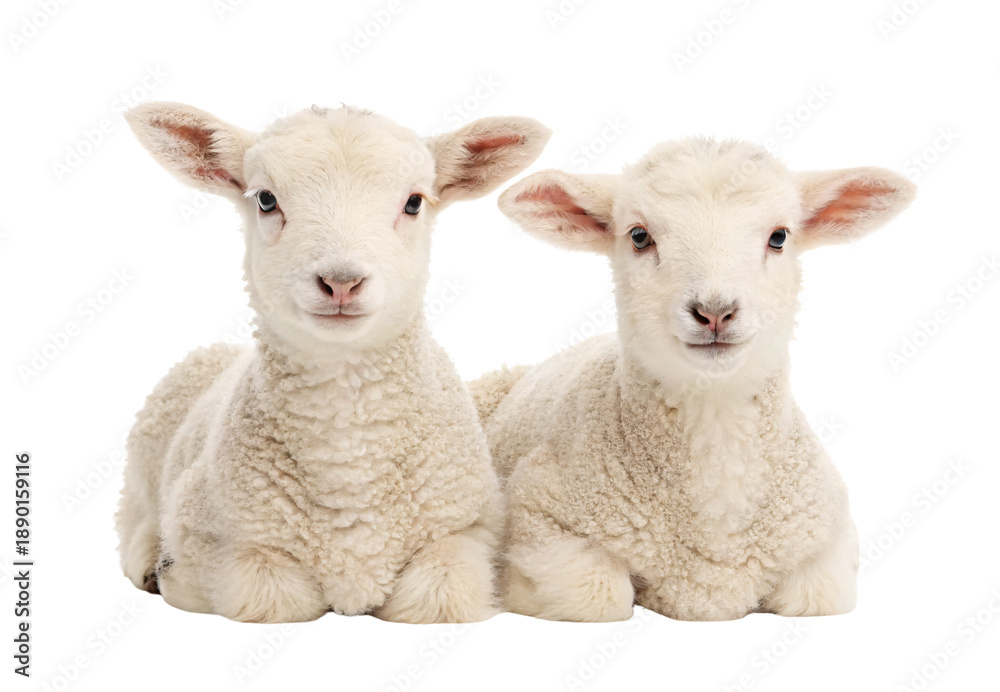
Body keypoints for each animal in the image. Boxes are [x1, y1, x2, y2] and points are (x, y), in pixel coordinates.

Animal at [115, 101, 551, 623]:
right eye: (266, 200)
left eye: (413, 203)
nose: (341, 282)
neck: (347, 457)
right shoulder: (213, 537)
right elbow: (271, 594)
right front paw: (168, 572)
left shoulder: (466, 530)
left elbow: (438, 596)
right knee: (132, 511)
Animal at [472, 138, 916, 621]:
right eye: (639, 236)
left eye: (779, 237)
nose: (715, 311)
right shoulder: (542, 520)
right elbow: (598, 598)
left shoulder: (827, 545)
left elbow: (816, 595)